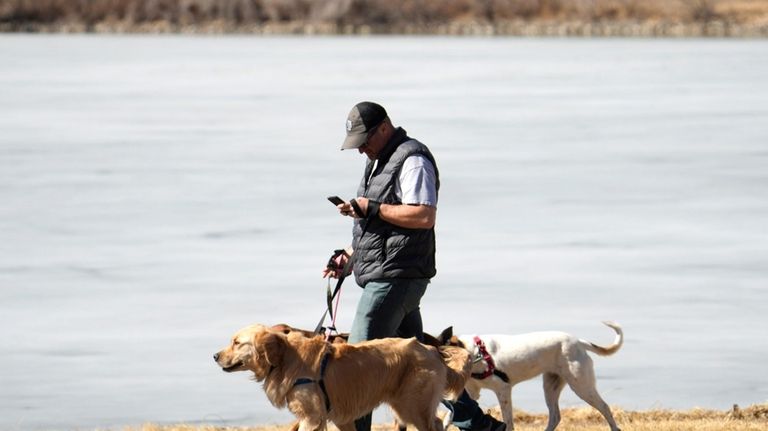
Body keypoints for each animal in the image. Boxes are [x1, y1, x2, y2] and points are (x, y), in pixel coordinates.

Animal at [213, 324, 472, 431]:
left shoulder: (312, 417)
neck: (286, 358)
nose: (214, 356)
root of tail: (432, 350)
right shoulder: (335, 417)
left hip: (412, 405)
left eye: (237, 343)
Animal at [436, 322, 620, 430]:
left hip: (581, 385)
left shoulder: (503, 390)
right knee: (555, 416)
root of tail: (579, 342)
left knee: (605, 407)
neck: (475, 353)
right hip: (551, 386)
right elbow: (450, 415)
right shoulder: (471, 393)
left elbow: (508, 421)